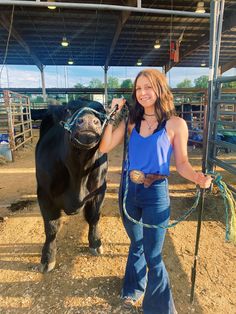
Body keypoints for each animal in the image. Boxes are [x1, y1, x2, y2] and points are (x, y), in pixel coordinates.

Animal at [35, 100, 108, 272]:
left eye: (101, 111)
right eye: (68, 110)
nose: (88, 120)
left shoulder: (100, 190)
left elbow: (94, 217)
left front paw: (95, 243)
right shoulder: (44, 195)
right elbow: (51, 228)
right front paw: (47, 258)